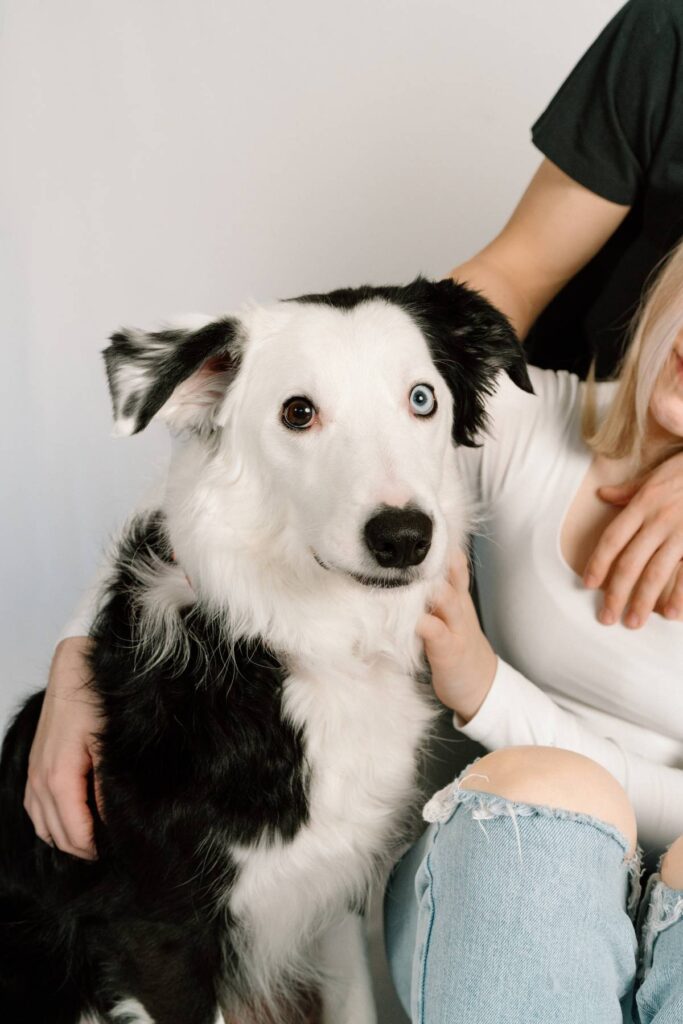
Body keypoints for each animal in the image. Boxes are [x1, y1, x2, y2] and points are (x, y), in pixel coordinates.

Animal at [0, 278, 532, 1024]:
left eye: (422, 399)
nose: (403, 537)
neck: (307, 641)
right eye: (297, 413)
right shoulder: (157, 934)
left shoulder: (333, 890)